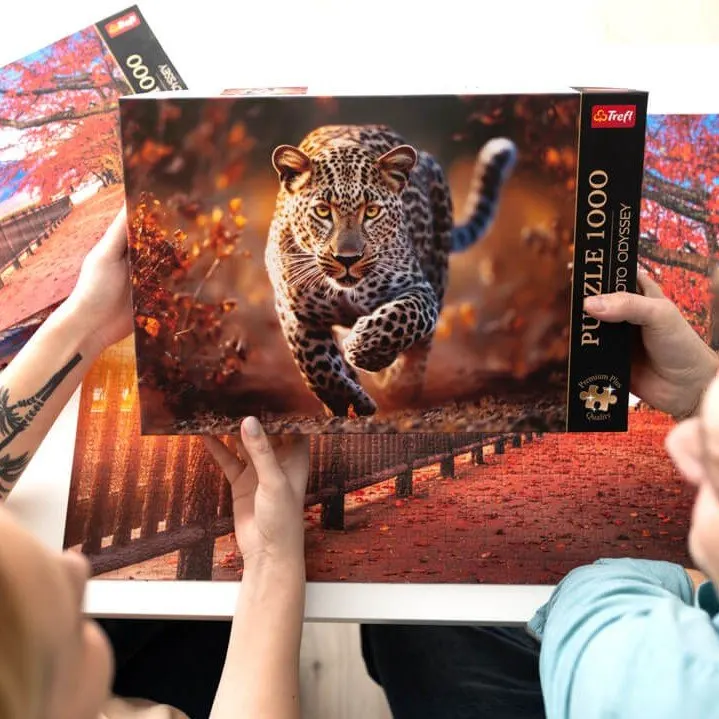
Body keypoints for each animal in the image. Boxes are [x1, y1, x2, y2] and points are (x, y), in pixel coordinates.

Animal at [264, 123, 517, 418]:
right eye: (323, 211)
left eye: (372, 212)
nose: (347, 258)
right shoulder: (294, 311)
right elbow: (316, 365)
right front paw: (348, 402)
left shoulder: (419, 288)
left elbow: (403, 318)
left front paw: (365, 349)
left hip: (438, 268)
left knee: (422, 345)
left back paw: (401, 384)